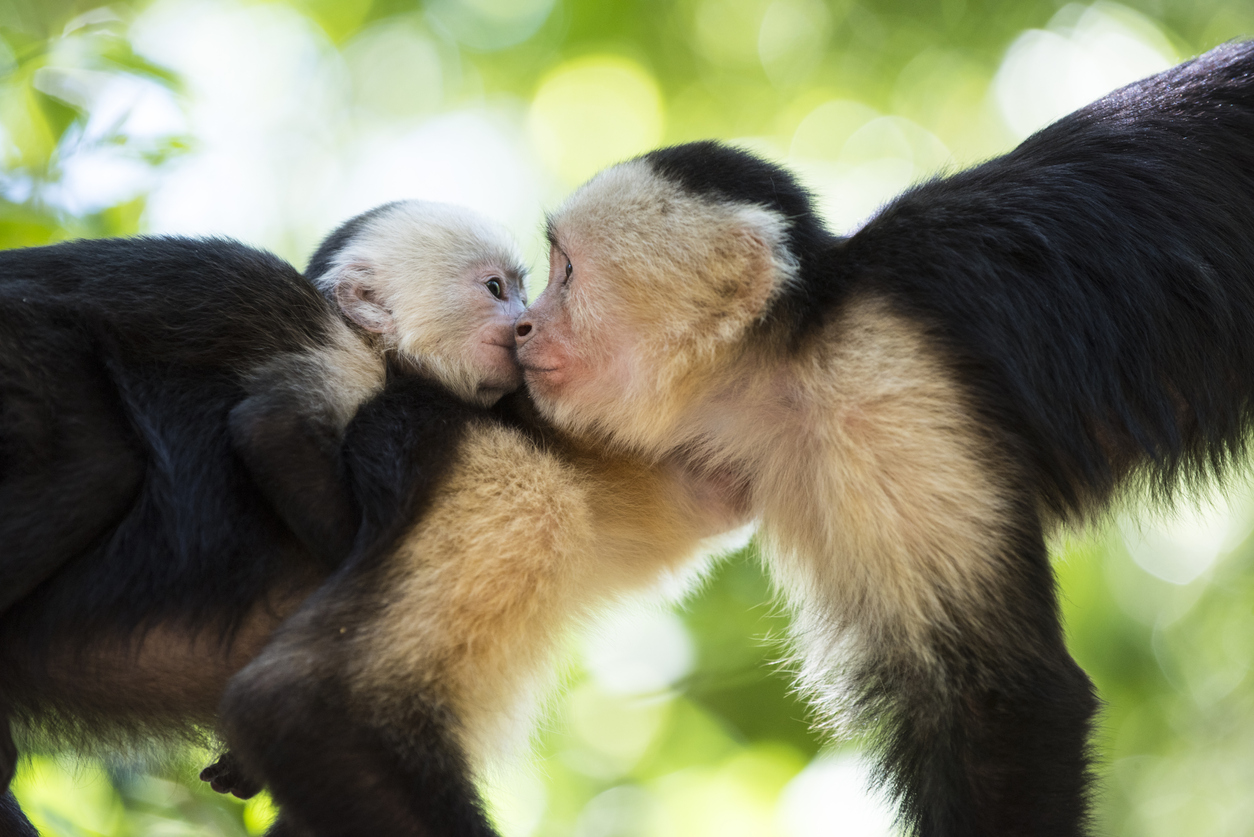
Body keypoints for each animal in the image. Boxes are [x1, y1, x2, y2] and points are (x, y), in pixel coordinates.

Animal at [0, 200, 527, 832]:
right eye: (496, 289)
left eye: (524, 289)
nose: (527, 321)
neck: (369, 343)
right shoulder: (345, 362)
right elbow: (271, 428)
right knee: (92, 461)